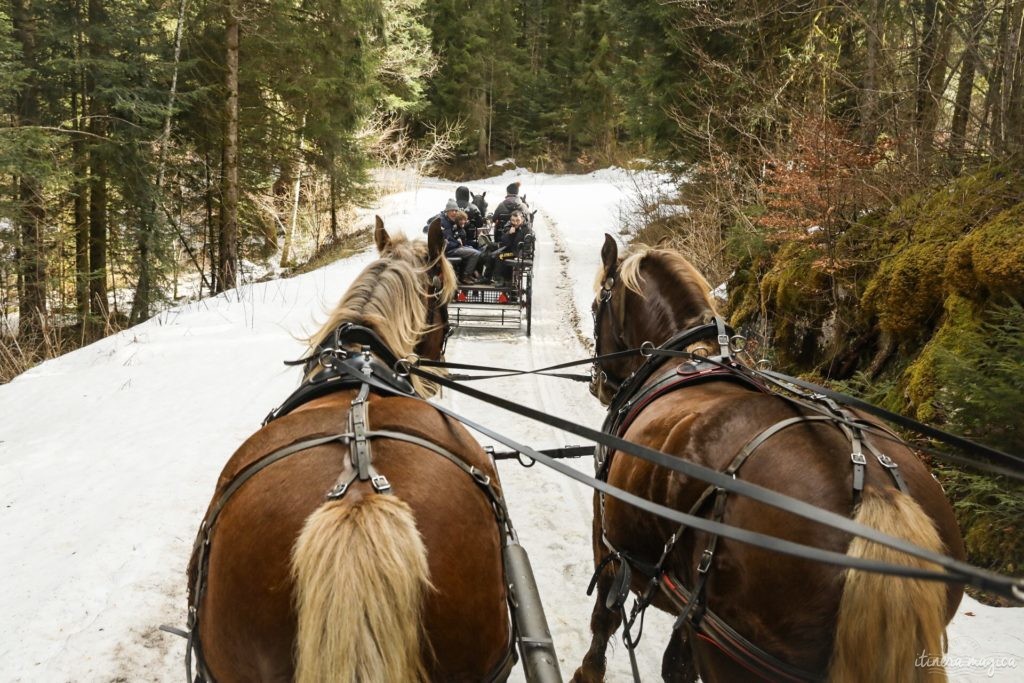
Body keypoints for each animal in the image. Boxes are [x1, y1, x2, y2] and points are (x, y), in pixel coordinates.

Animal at [577, 236, 966, 683]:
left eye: (596, 308)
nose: (598, 385)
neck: (684, 354)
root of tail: (878, 493)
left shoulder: (606, 539)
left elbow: (603, 619)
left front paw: (586, 672)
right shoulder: (690, 613)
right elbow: (677, 664)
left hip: (734, 650)